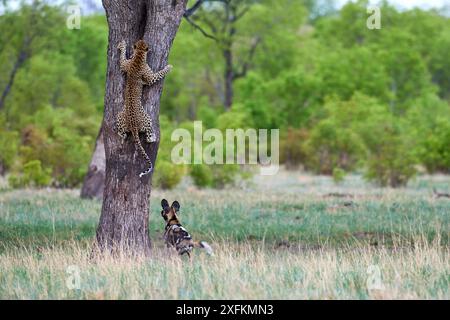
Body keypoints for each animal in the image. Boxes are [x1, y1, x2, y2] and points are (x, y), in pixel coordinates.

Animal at [116, 39, 172, 178]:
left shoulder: (125, 65)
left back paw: (123, 135)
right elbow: (158, 75)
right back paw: (153, 138)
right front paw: (168, 67)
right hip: (148, 118)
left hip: (119, 116)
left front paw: (122, 46)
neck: (138, 57)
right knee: (148, 136)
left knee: (121, 133)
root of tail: (133, 127)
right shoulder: (150, 77)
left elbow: (122, 59)